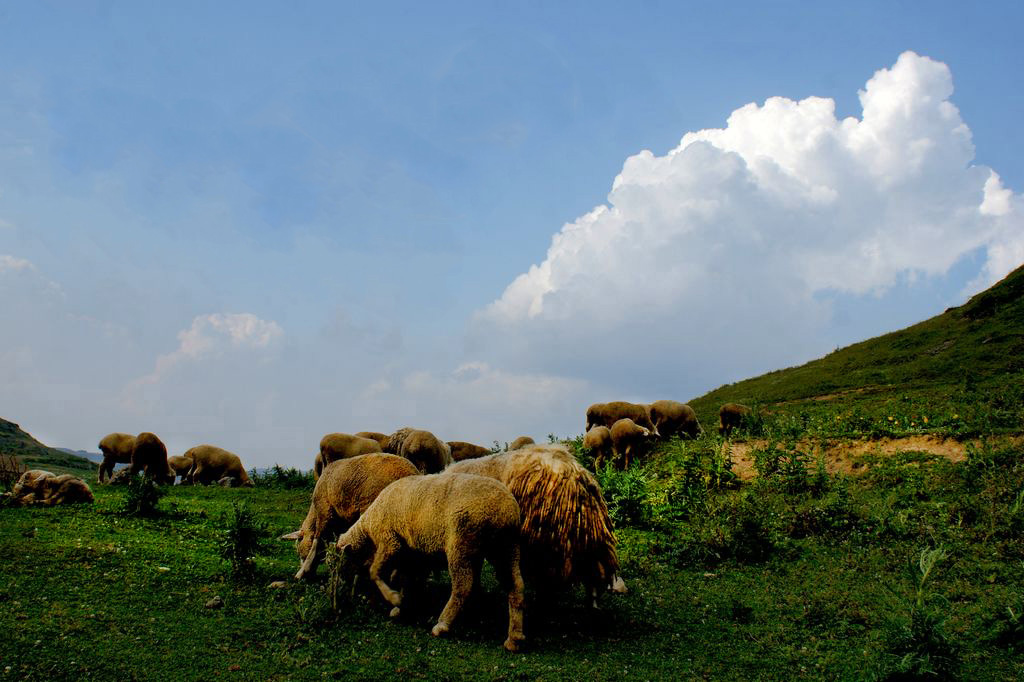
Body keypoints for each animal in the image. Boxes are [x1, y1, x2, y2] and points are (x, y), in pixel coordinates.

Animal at [335, 471, 528, 651]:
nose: (344, 587)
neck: (367, 528)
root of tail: (505, 509)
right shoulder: (411, 554)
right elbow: (405, 579)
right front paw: (403, 605)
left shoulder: (390, 541)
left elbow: (375, 572)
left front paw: (394, 598)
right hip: (506, 547)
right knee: (515, 585)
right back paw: (514, 639)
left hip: (461, 544)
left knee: (463, 586)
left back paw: (442, 625)